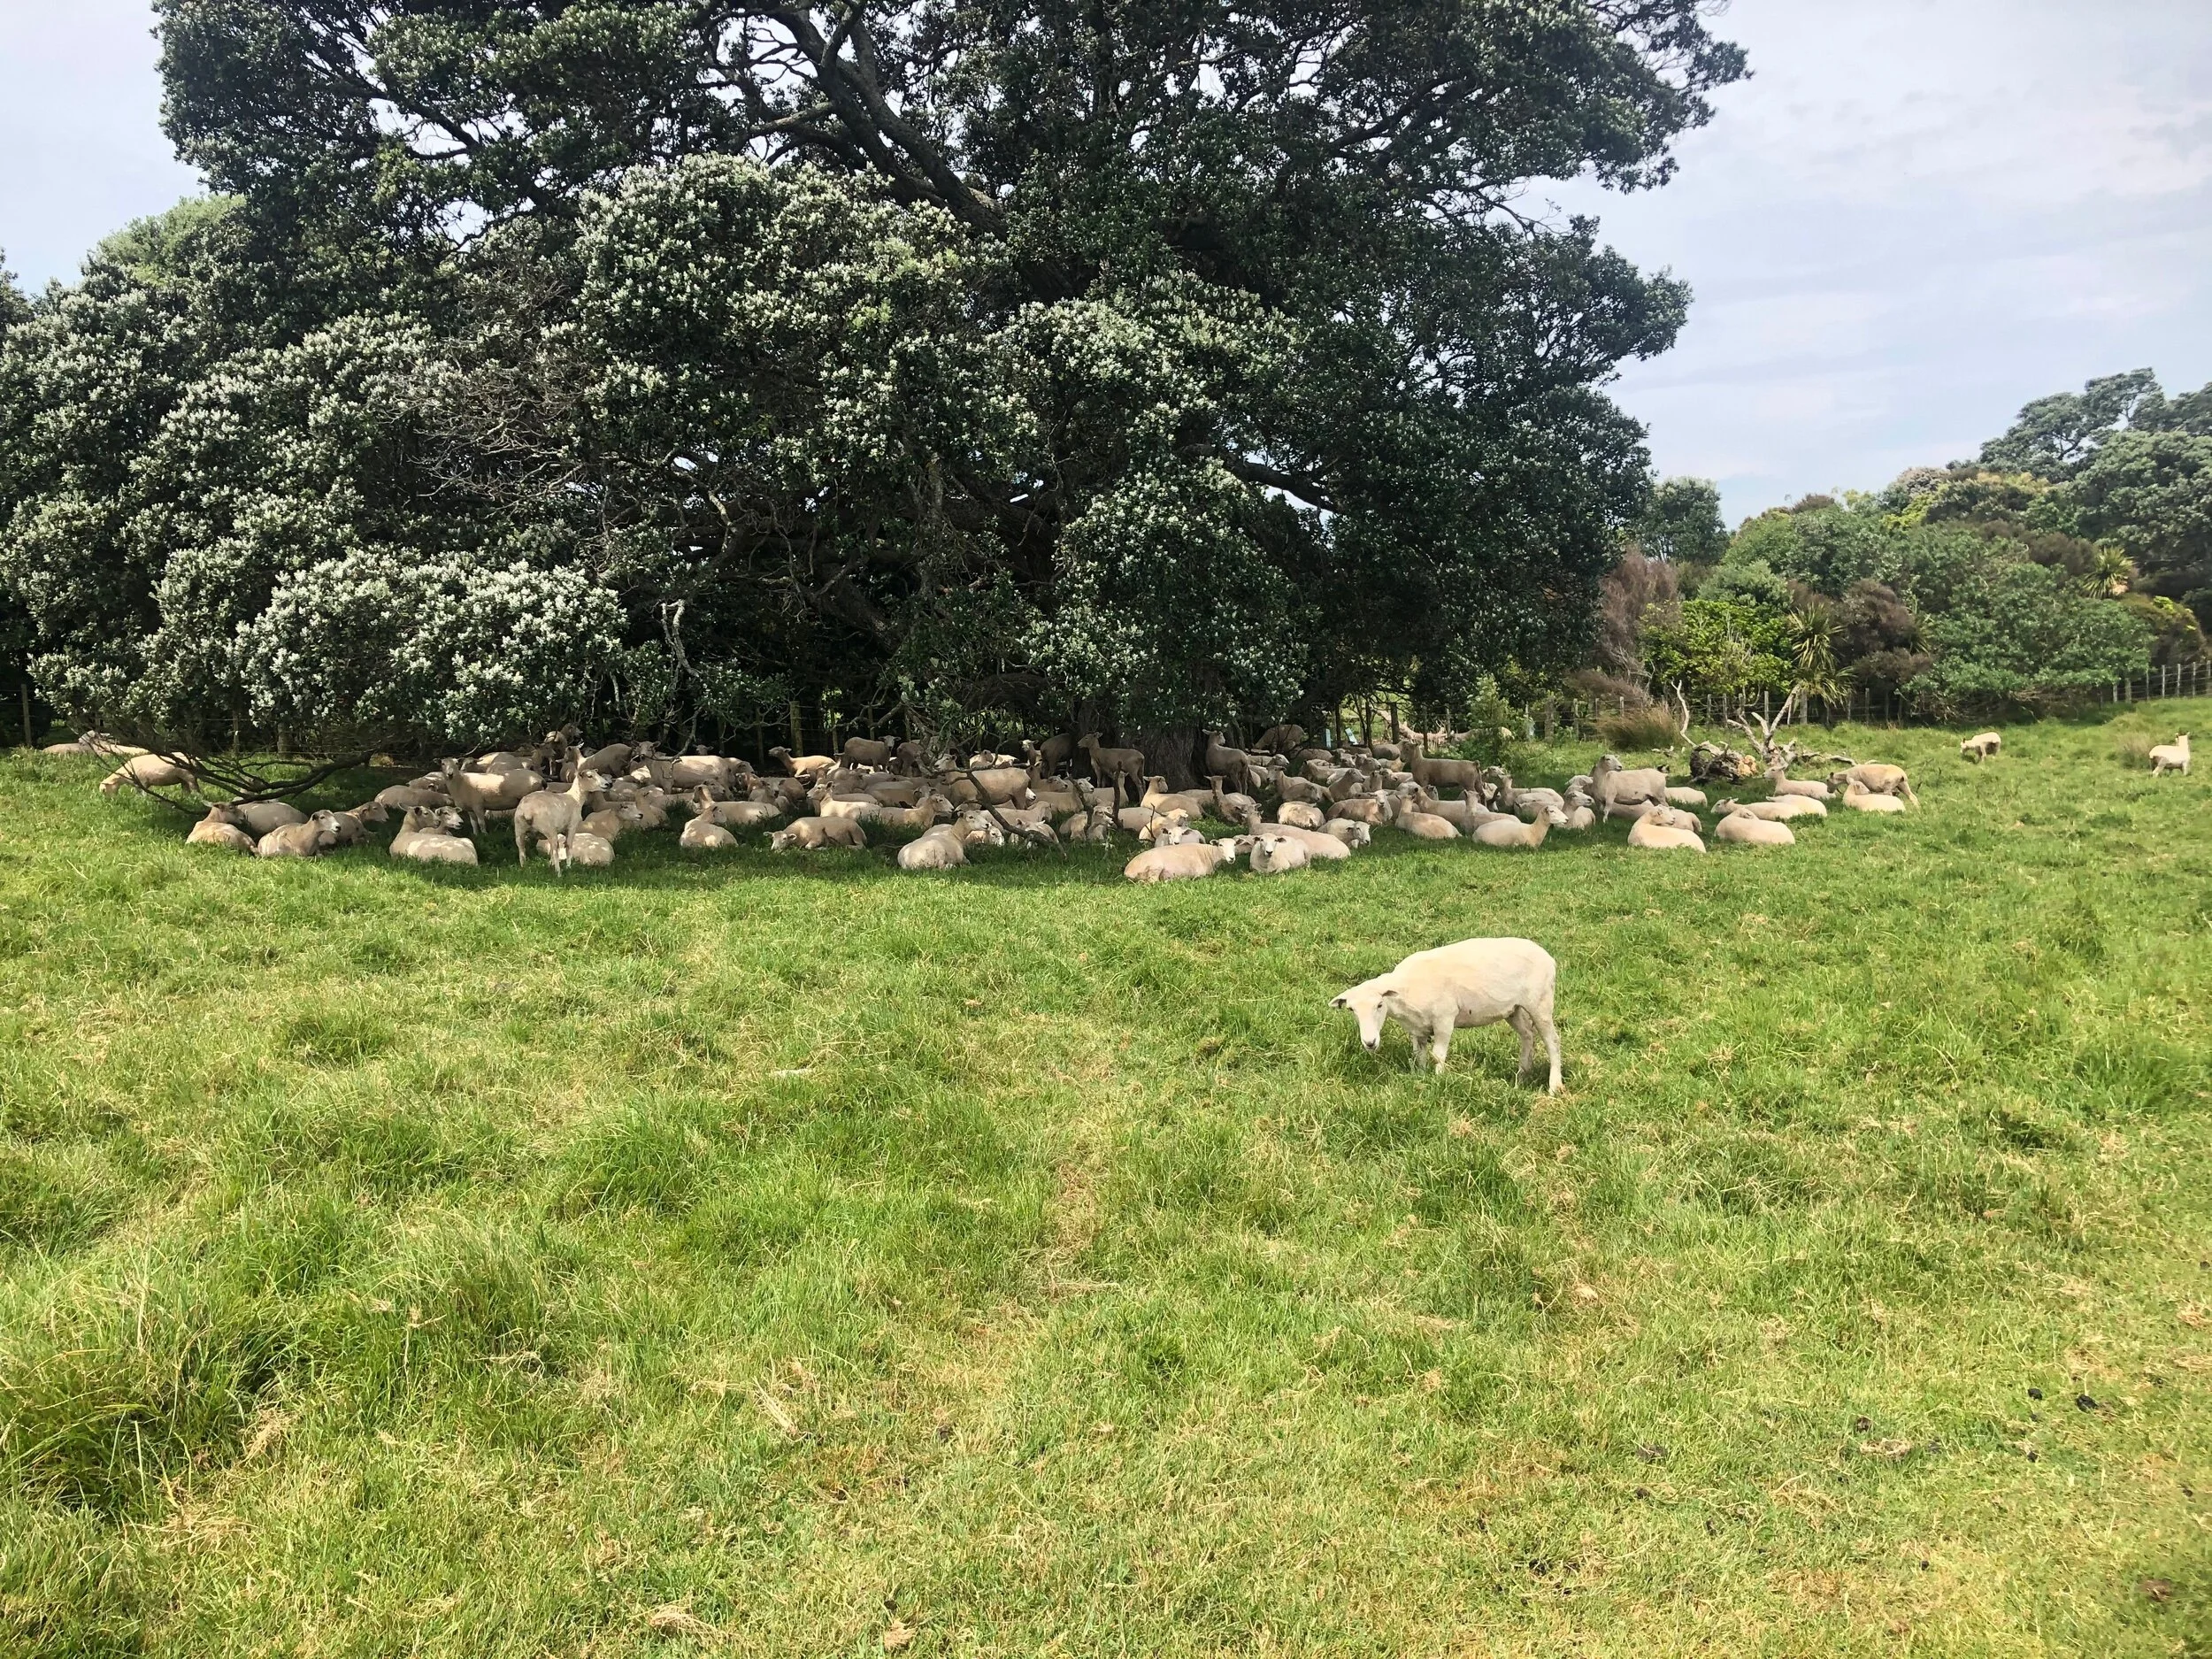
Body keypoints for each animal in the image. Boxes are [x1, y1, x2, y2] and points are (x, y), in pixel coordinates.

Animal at [1123, 840, 1236, 883]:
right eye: (1220, 845)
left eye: (1235, 845)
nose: (1232, 858)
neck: (1209, 854)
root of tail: (1127, 870)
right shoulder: (1200, 874)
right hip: (1155, 866)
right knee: (1153, 882)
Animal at [1329, 937, 1561, 1090]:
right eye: (1351, 1009)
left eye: (1379, 1005)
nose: (1370, 1043)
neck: (1405, 989)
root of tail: (1549, 958)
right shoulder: (1417, 1028)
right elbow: (1419, 1054)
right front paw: (1421, 1076)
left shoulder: (1444, 1019)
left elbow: (1438, 1054)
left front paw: (1439, 1079)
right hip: (1513, 1008)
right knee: (1528, 1035)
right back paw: (1521, 1077)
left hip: (1540, 1002)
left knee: (1552, 1041)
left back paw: (1554, 1085)